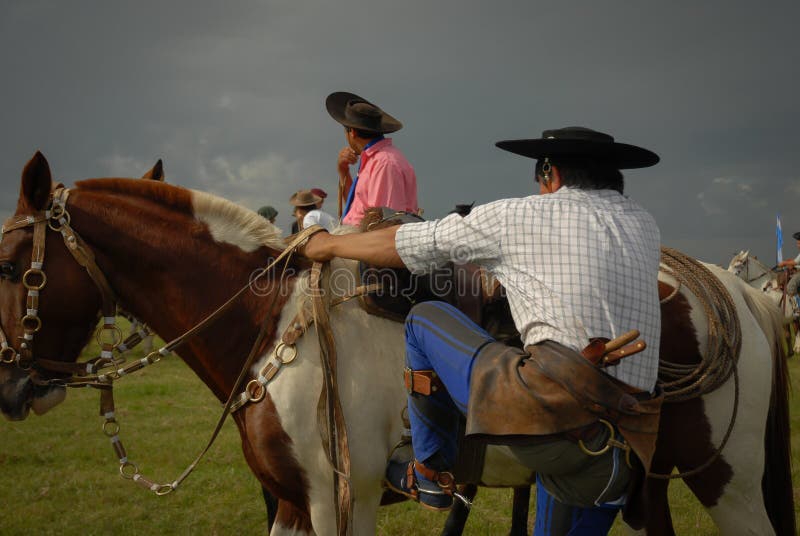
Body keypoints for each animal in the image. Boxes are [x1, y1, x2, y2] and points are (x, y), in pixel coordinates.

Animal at [0, 153, 792, 532]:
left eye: (9, 264)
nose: (10, 384)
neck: (272, 324)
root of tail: (743, 293)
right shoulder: (292, 504)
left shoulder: (338, 502)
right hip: (648, 482)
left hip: (730, 481)